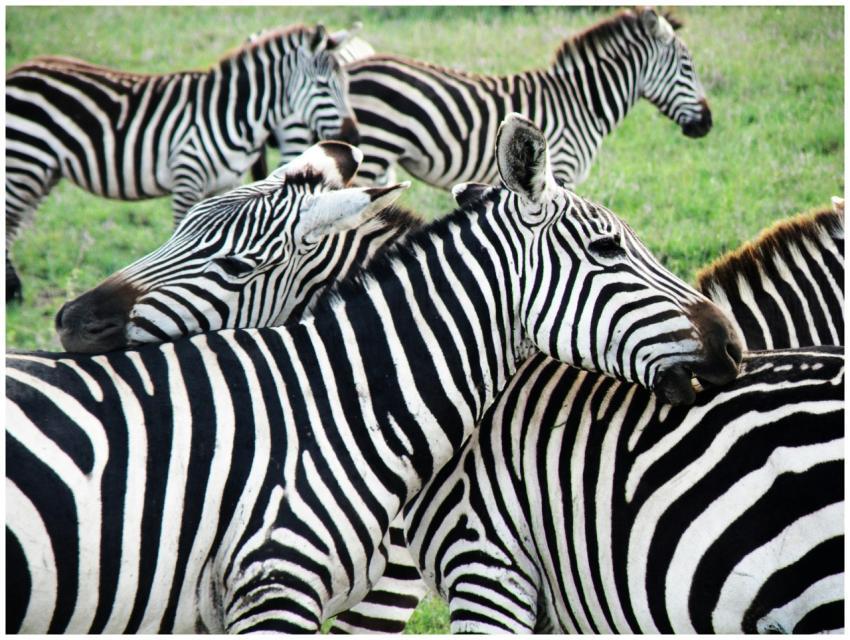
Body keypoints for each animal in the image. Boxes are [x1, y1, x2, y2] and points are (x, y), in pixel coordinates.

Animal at [5, 23, 359, 303]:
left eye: (347, 85)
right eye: (324, 86)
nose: (353, 137)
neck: (231, 112)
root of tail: (18, 70)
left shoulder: (226, 184)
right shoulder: (187, 176)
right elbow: (179, 233)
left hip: (43, 171)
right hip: (25, 160)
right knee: (9, 221)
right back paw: (14, 292)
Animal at [264, 7, 711, 189]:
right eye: (689, 67)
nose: (707, 125)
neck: (582, 102)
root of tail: (352, 67)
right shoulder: (560, 168)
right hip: (372, 154)